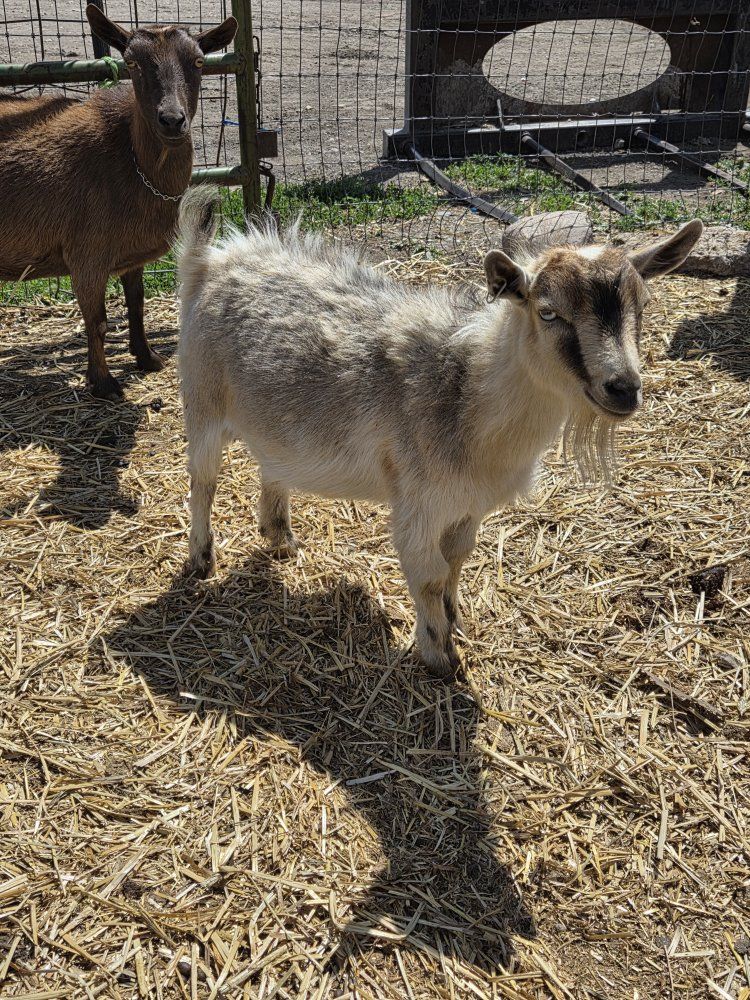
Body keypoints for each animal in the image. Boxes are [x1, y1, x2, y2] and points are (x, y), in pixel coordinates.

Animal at [0, 6, 237, 400]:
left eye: (199, 61)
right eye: (131, 62)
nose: (172, 120)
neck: (129, 156)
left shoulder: (130, 253)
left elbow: (136, 304)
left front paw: (147, 357)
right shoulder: (86, 252)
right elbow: (96, 322)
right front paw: (105, 383)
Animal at [176, 188, 702, 678]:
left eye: (644, 306)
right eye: (548, 312)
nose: (624, 388)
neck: (467, 390)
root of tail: (211, 260)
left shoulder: (470, 504)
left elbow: (457, 560)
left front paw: (455, 620)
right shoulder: (420, 502)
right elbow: (428, 573)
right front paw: (439, 656)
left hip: (273, 423)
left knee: (272, 465)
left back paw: (280, 538)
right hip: (202, 401)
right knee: (203, 481)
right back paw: (202, 559)